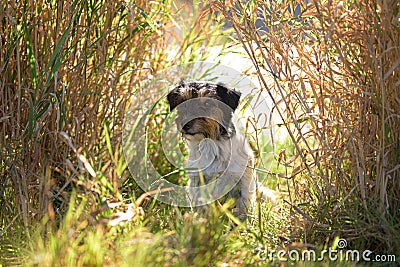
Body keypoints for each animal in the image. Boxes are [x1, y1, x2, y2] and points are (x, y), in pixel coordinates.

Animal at [166, 80, 276, 219]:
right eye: (182, 102)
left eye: (207, 103)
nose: (186, 124)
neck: (211, 144)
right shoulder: (198, 182)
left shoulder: (244, 180)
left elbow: (243, 205)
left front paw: (241, 223)